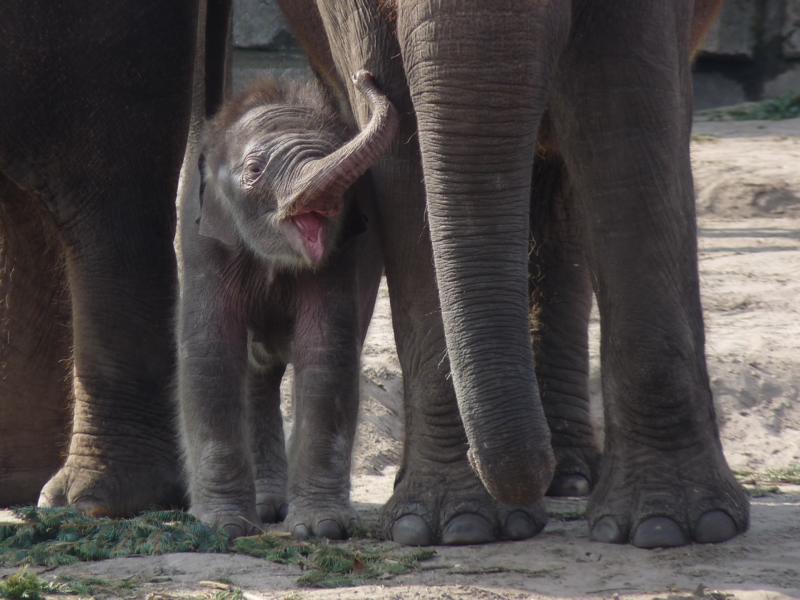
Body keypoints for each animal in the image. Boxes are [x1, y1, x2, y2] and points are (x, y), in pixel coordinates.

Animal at [177, 71, 395, 539]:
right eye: (254, 170)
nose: (363, 77)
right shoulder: (201, 241)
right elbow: (209, 353)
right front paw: (225, 527)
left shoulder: (342, 254)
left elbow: (327, 353)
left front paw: (320, 528)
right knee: (254, 371)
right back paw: (264, 507)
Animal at [278, 0, 748, 548]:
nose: (364, 83)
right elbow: (402, 166)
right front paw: (456, 526)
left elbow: (627, 114)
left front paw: (674, 526)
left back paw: (572, 477)